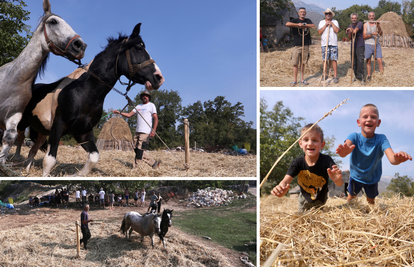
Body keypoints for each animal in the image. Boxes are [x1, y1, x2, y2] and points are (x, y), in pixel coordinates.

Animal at [14, 23, 163, 177]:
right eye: (139, 48)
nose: (159, 77)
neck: (83, 92)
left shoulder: (83, 132)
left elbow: (93, 157)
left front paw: (76, 175)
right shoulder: (58, 127)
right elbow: (49, 160)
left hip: (42, 132)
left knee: (32, 150)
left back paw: (26, 170)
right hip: (23, 123)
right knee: (19, 140)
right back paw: (16, 161)